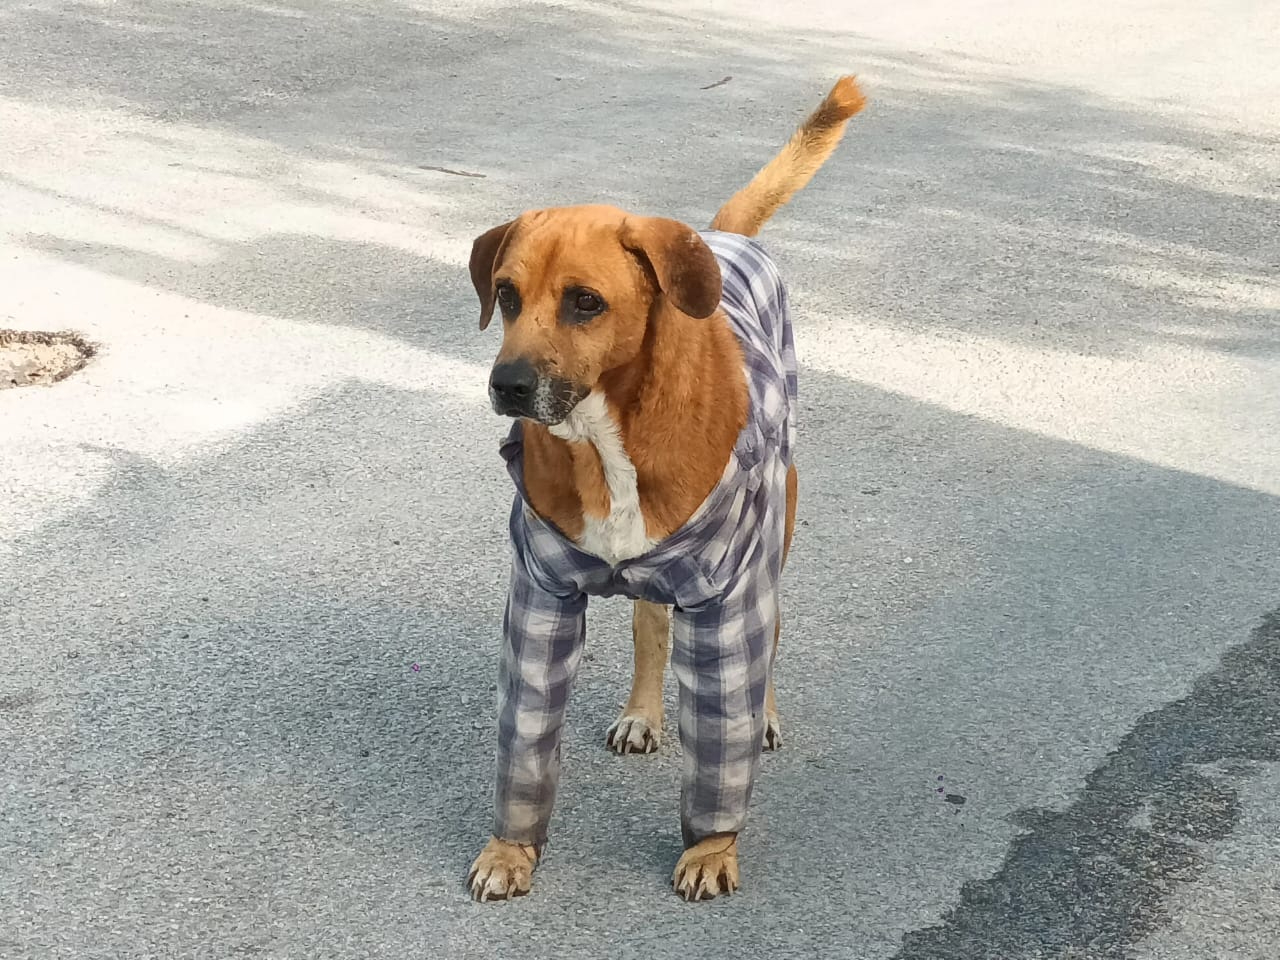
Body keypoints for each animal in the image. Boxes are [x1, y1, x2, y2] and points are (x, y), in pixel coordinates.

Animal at [465, 75, 865, 901]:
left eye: (585, 301)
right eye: (507, 295)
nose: (507, 385)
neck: (605, 439)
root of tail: (717, 238)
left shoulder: (727, 601)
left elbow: (721, 744)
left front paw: (712, 850)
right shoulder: (543, 595)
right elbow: (526, 739)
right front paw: (510, 851)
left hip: (772, 542)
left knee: (770, 638)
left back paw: (763, 712)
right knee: (651, 625)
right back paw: (643, 713)